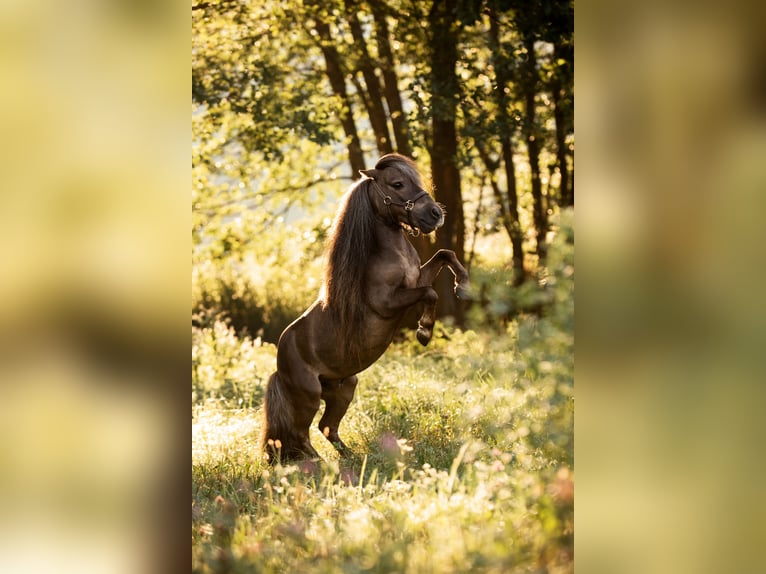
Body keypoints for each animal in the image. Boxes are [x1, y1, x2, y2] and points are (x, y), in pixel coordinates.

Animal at [260, 154, 472, 464]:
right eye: (397, 184)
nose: (435, 214)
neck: (388, 254)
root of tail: (279, 364)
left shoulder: (417, 278)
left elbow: (445, 254)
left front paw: (464, 286)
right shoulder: (388, 303)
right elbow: (431, 293)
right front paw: (424, 331)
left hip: (344, 388)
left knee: (327, 427)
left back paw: (352, 458)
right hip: (308, 396)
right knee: (301, 434)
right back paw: (321, 465)